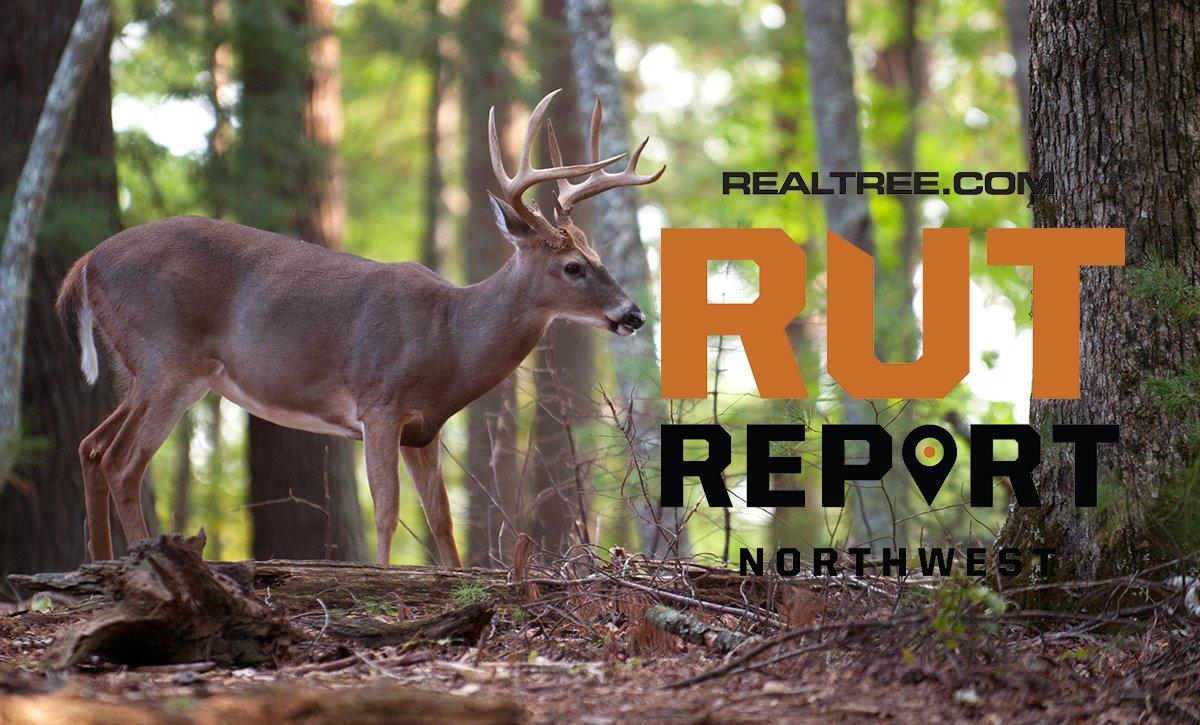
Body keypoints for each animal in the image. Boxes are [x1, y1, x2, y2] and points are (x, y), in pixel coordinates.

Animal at [55, 89, 663, 567]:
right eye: (574, 266)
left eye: (596, 253)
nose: (633, 315)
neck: (450, 338)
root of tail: (84, 264)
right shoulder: (379, 402)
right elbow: (388, 510)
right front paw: (385, 576)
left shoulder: (425, 428)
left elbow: (440, 517)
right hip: (170, 359)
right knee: (122, 462)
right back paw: (142, 558)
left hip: (143, 367)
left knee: (91, 445)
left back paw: (99, 562)